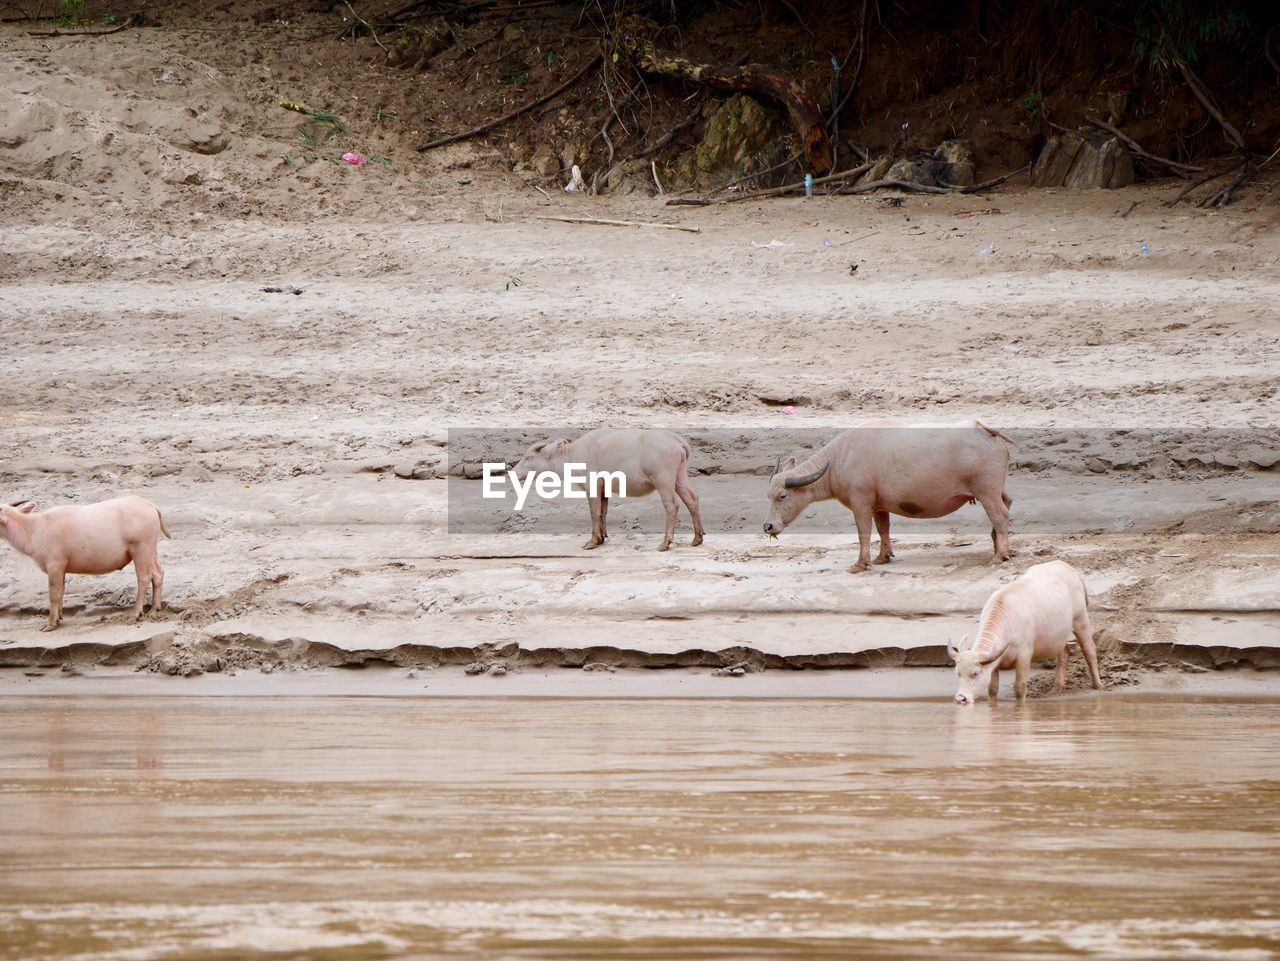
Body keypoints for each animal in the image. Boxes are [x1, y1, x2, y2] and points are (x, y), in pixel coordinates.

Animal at [0, 496, 171, 632]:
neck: (34, 529)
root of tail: (149, 505)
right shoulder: (62, 569)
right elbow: (61, 592)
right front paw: (59, 617)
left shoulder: (55, 565)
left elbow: (53, 595)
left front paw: (50, 624)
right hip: (150, 550)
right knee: (157, 574)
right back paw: (154, 609)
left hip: (140, 549)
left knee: (144, 578)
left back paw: (136, 613)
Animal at [509, 429, 706, 552]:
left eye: (529, 457)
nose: (512, 472)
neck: (571, 457)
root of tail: (677, 442)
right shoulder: (603, 488)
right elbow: (603, 511)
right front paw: (602, 537)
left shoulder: (592, 486)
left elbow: (594, 512)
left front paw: (592, 542)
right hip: (679, 476)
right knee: (692, 499)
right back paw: (697, 538)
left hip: (663, 479)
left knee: (672, 506)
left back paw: (665, 543)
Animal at [762, 419, 1013, 570]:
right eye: (769, 495)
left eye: (782, 496)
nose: (768, 527)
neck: (842, 458)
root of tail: (983, 428)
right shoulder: (878, 506)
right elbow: (883, 529)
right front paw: (882, 557)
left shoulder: (860, 503)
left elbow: (863, 532)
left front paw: (860, 564)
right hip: (995, 490)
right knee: (1007, 503)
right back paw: (1000, 547)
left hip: (986, 492)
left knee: (999, 515)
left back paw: (999, 555)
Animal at [952, 560, 1100, 701]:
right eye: (958, 673)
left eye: (976, 673)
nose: (960, 699)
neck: (1007, 626)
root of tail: (1070, 569)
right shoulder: (994, 664)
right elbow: (993, 690)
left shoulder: (1024, 656)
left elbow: (1020, 688)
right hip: (1059, 634)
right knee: (1063, 653)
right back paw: (1056, 688)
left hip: (1080, 619)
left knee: (1089, 650)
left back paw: (1097, 685)